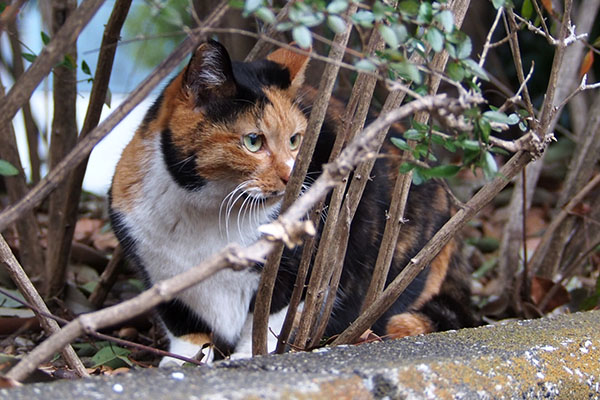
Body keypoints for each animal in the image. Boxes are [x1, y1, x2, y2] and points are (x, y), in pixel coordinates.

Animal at [110, 39, 480, 366]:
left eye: (295, 140)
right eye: (253, 141)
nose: (293, 177)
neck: (207, 211)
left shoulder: (304, 270)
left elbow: (270, 316)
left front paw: (247, 357)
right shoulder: (157, 271)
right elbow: (183, 325)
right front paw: (181, 362)